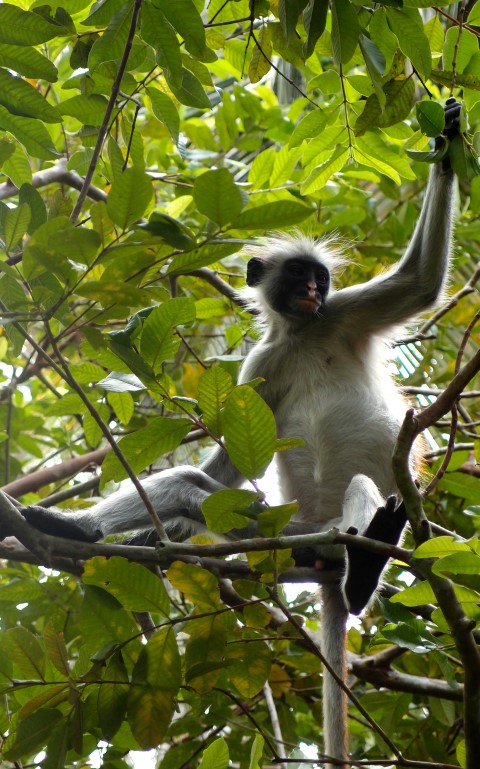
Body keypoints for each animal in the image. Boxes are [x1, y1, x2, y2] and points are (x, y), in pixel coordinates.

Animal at [0, 100, 462, 768]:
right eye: (297, 276)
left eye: (319, 279)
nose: (311, 290)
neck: (304, 333)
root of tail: (327, 553)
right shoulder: (262, 365)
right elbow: (223, 470)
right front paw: (140, 529)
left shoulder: (342, 313)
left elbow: (423, 282)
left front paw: (450, 134)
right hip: (285, 536)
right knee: (190, 486)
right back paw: (79, 529)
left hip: (327, 526)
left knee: (362, 489)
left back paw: (368, 564)